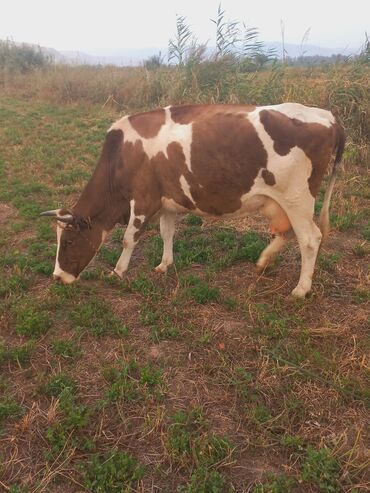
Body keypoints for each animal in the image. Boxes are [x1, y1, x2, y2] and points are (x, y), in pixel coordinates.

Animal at [40, 101, 344, 296]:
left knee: (310, 239)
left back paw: (301, 289)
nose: (57, 277)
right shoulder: (166, 202)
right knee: (287, 231)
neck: (122, 156)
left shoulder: (143, 199)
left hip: (297, 198)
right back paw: (264, 260)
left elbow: (129, 239)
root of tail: (327, 116)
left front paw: (117, 272)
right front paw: (164, 264)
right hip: (281, 202)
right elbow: (166, 233)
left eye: (68, 241)